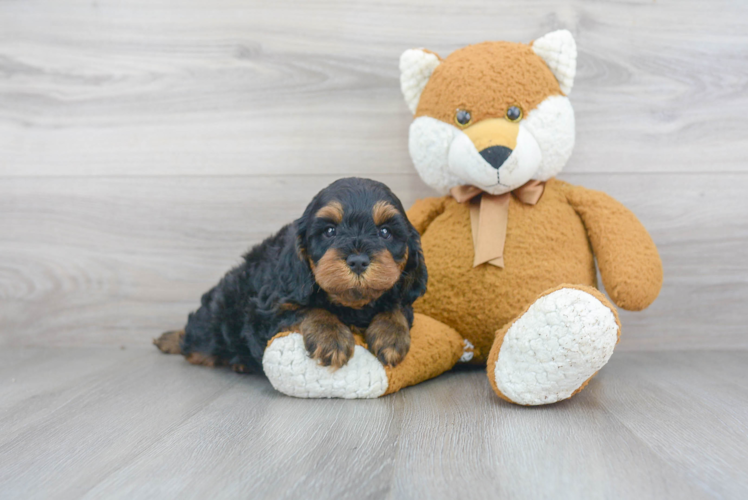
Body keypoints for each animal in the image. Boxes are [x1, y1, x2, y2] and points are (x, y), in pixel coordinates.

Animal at [155, 178, 426, 374]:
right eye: (330, 231)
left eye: (385, 232)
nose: (358, 261)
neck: (349, 305)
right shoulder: (264, 313)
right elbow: (308, 309)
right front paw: (331, 336)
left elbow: (397, 306)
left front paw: (390, 335)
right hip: (216, 321)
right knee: (195, 342)